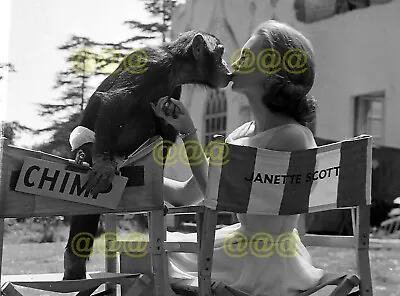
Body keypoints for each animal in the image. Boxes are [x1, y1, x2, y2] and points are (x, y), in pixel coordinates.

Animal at [63, 30, 231, 280]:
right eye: (220, 53)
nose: (228, 67)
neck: (176, 64)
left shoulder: (175, 92)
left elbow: (167, 131)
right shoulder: (152, 64)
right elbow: (116, 101)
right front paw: (102, 166)